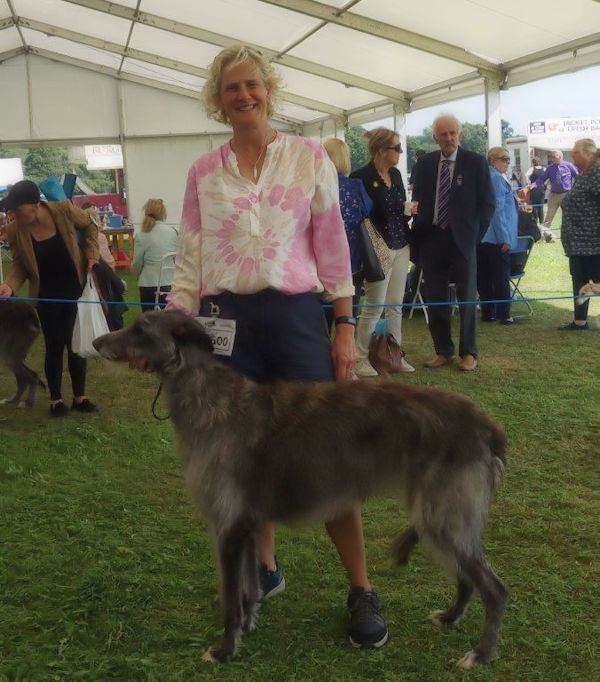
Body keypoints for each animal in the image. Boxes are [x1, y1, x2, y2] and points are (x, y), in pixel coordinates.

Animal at [92, 310, 506, 668]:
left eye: (141, 329)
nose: (96, 342)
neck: (210, 400)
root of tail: (485, 425)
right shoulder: (247, 525)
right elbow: (247, 590)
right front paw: (247, 627)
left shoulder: (228, 526)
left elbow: (230, 600)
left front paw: (224, 649)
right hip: (443, 517)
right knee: (468, 577)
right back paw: (450, 617)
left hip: (443, 515)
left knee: (495, 588)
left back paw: (481, 653)